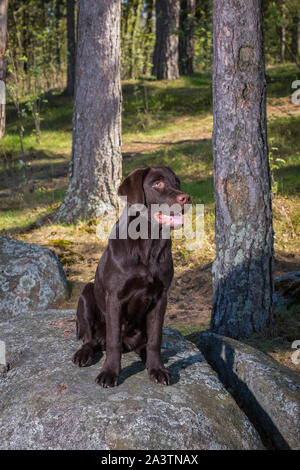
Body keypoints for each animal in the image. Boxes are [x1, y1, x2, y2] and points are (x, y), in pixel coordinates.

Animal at [72, 167, 190, 388]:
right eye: (157, 183)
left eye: (177, 182)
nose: (186, 198)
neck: (149, 243)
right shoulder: (114, 297)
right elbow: (113, 342)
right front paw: (109, 373)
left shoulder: (161, 298)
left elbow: (155, 340)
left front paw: (157, 369)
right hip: (86, 293)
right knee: (90, 339)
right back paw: (84, 353)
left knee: (144, 343)